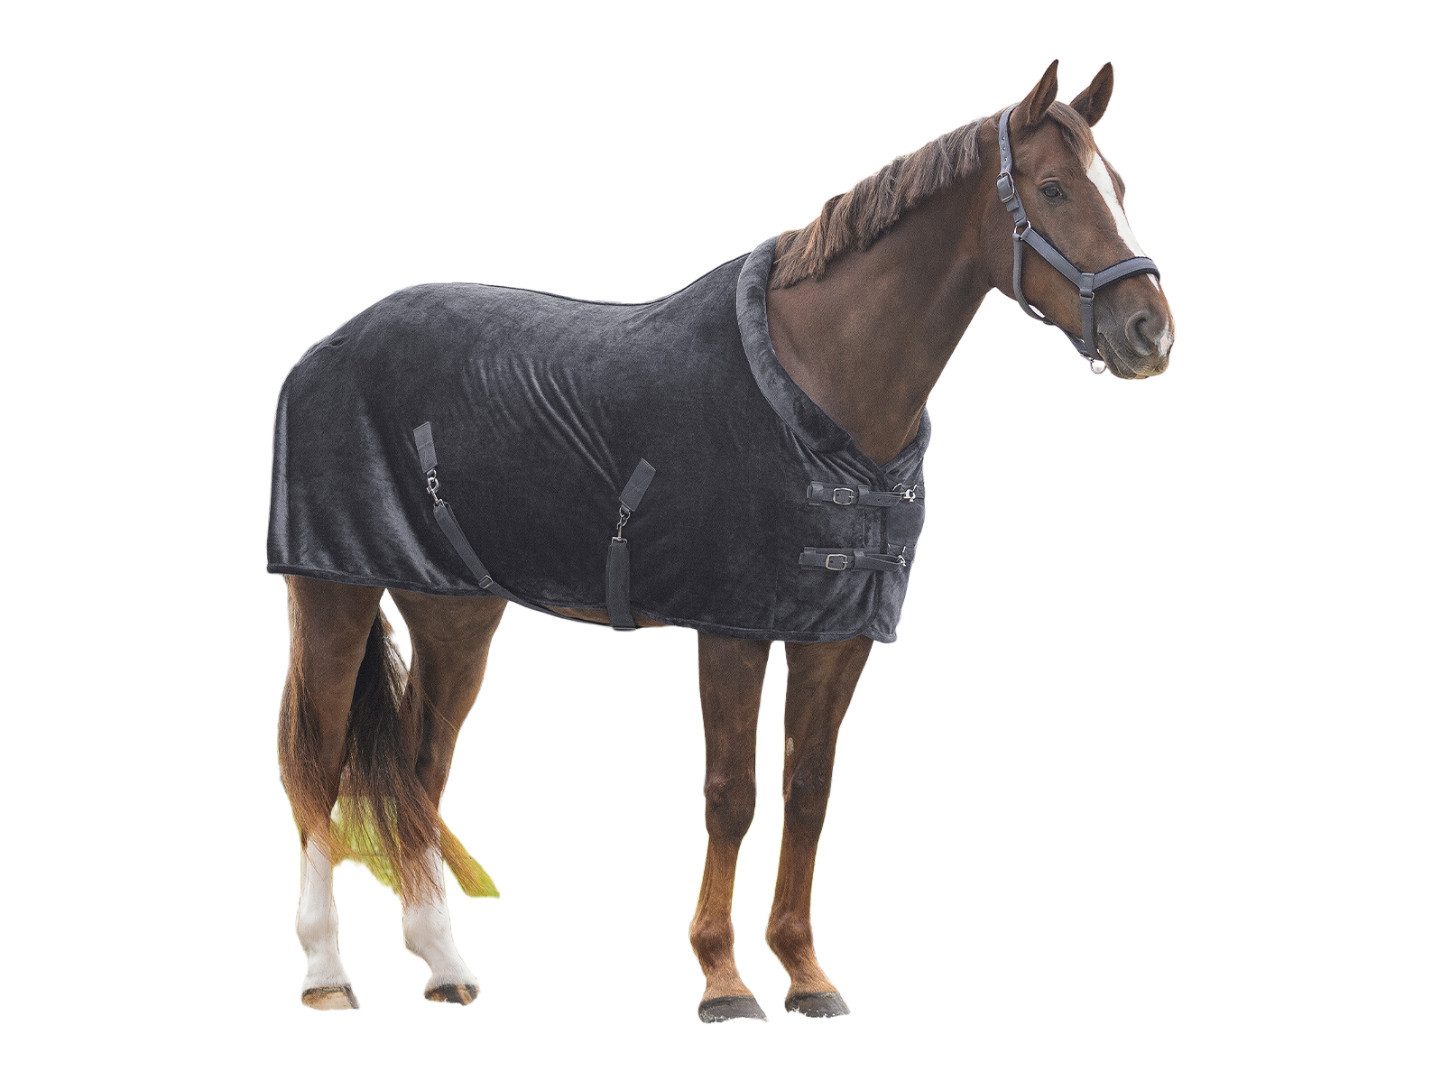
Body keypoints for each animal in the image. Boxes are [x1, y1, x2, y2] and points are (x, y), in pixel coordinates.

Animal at [271, 60, 1175, 1020]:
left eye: (1119, 186)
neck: (823, 387)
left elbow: (807, 792)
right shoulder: (733, 628)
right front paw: (723, 979)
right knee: (318, 769)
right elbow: (731, 795)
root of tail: (324, 349)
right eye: (1053, 187)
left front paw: (806, 973)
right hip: (334, 594)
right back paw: (327, 973)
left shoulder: (838, 634)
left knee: (418, 771)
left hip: (455, 614)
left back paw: (444, 964)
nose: (1150, 332)